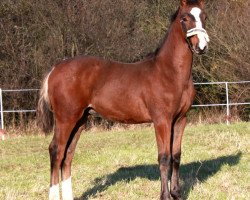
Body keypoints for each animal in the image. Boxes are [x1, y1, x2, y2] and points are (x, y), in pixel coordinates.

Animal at [37, 0, 209, 199]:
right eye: (184, 18)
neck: (170, 72)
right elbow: (164, 157)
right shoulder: (162, 120)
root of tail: (55, 69)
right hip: (65, 118)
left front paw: (176, 193)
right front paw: (165, 195)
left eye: (204, 17)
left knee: (68, 154)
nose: (202, 46)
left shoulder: (180, 119)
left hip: (80, 119)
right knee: (56, 151)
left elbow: (176, 155)